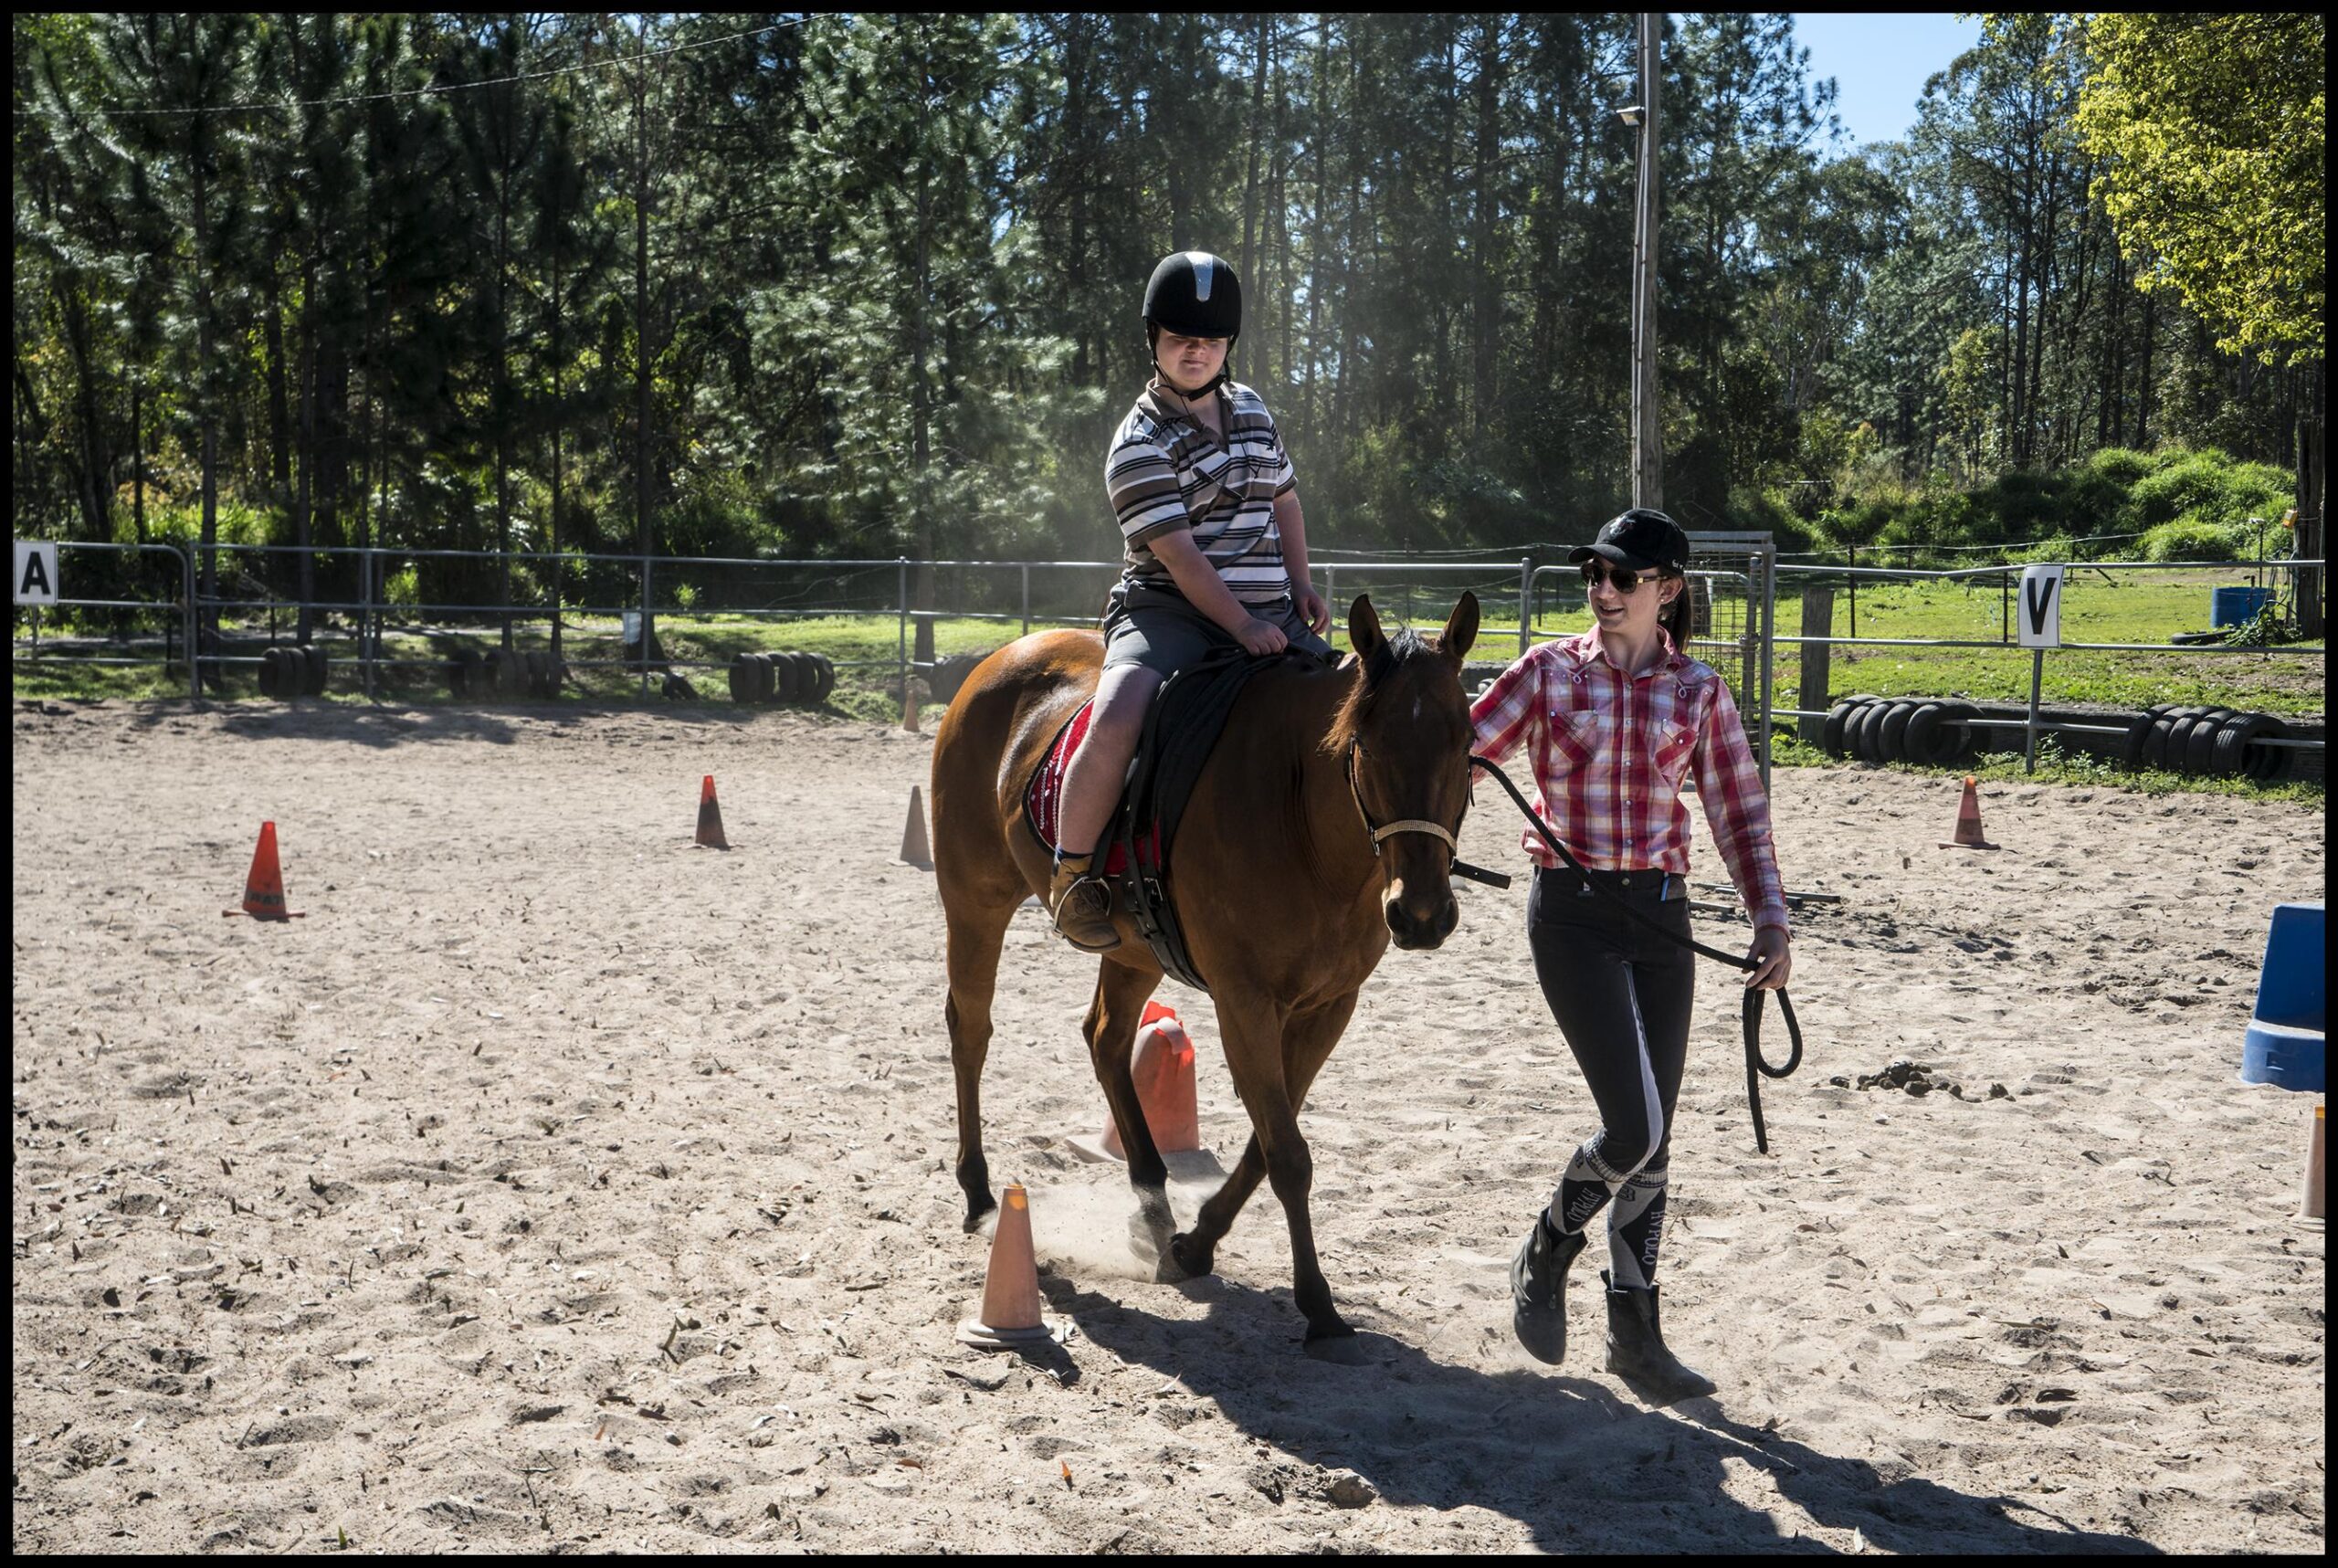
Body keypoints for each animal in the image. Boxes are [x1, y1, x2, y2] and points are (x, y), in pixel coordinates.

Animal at [930, 588, 1477, 1345]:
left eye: (1466, 741)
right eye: (1367, 743)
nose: (1422, 913)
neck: (1300, 814)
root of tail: (1002, 658)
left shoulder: (1328, 1005)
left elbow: (1268, 1139)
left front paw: (1196, 1242)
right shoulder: (1243, 1000)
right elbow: (1288, 1153)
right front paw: (1317, 1302)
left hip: (1132, 948)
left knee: (1105, 1036)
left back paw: (1152, 1193)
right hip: (974, 901)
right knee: (972, 1031)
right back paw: (980, 1190)